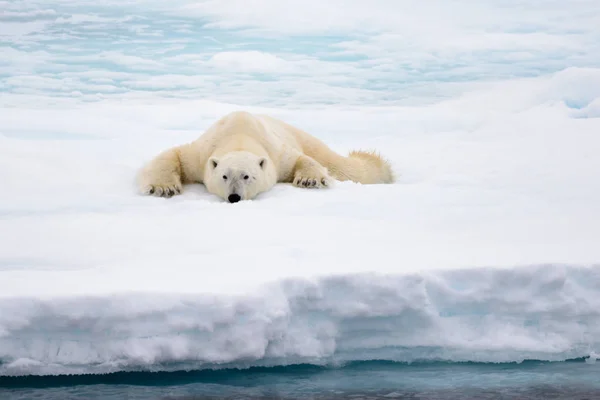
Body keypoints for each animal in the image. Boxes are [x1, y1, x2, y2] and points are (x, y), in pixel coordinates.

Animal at [138, 110, 396, 202]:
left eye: (247, 176)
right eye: (224, 176)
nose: (234, 197)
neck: (239, 134)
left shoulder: (277, 153)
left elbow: (299, 159)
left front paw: (309, 180)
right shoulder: (201, 153)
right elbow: (175, 154)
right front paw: (164, 188)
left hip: (304, 138)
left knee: (345, 166)